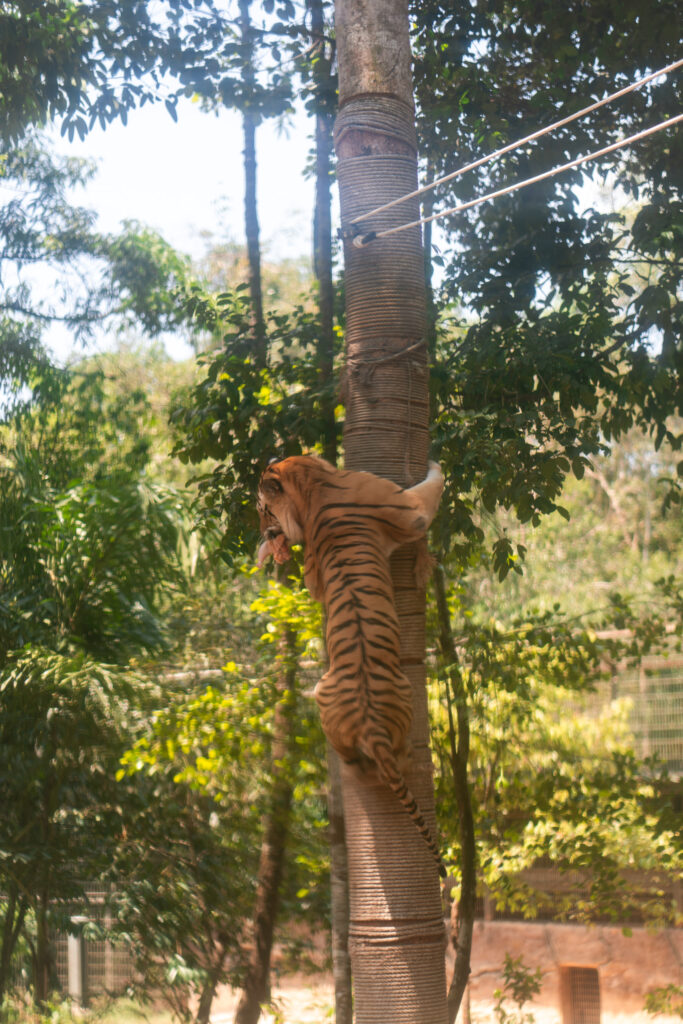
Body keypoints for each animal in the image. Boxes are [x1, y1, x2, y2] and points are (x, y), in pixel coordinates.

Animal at [258, 456, 448, 880]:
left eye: (262, 510)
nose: (264, 532)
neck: (310, 484)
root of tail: (370, 725)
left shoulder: (314, 575)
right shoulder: (410, 511)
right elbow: (431, 490)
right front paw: (435, 463)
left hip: (323, 696)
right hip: (403, 700)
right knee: (396, 758)